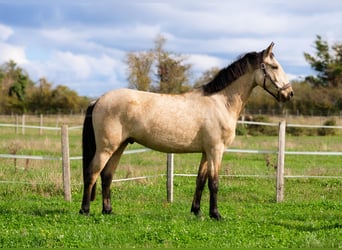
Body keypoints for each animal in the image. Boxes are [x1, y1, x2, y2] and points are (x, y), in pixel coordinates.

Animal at [80, 42, 294, 219]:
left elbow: (200, 180)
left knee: (107, 175)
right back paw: (85, 210)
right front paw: (216, 214)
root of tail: (97, 100)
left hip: (119, 146)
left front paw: (197, 211)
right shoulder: (216, 150)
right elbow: (214, 183)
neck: (220, 102)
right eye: (274, 66)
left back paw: (108, 210)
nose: (289, 93)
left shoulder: (206, 152)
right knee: (92, 173)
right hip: (106, 148)